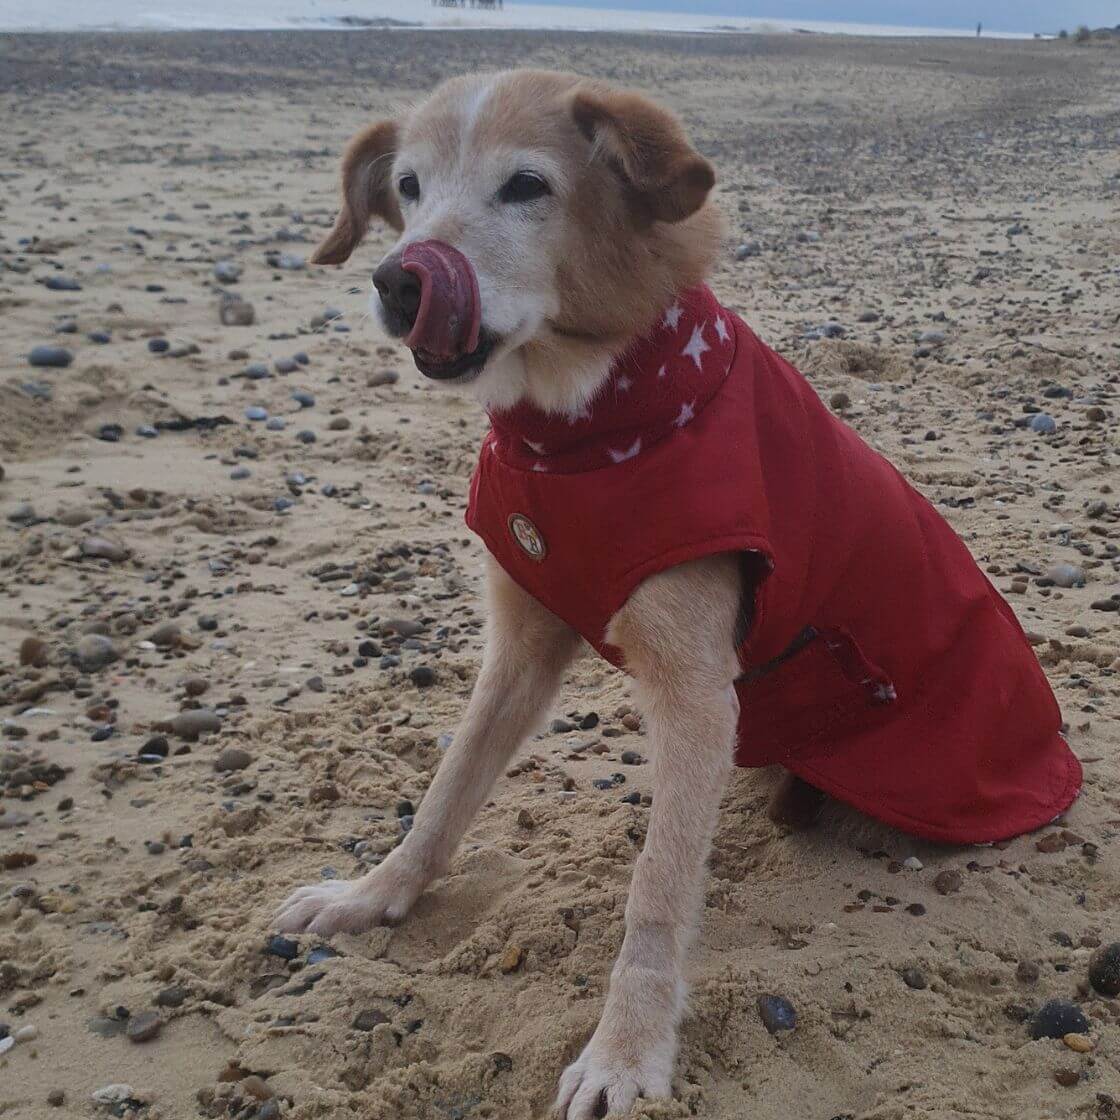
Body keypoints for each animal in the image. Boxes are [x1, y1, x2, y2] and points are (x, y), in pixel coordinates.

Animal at [276, 69, 1081, 1118]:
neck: (588, 425)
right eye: (407, 187)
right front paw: (373, 896)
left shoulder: (697, 689)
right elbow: (448, 789)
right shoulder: (521, 644)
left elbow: (656, 889)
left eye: (527, 186)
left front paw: (626, 1052)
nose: (401, 281)